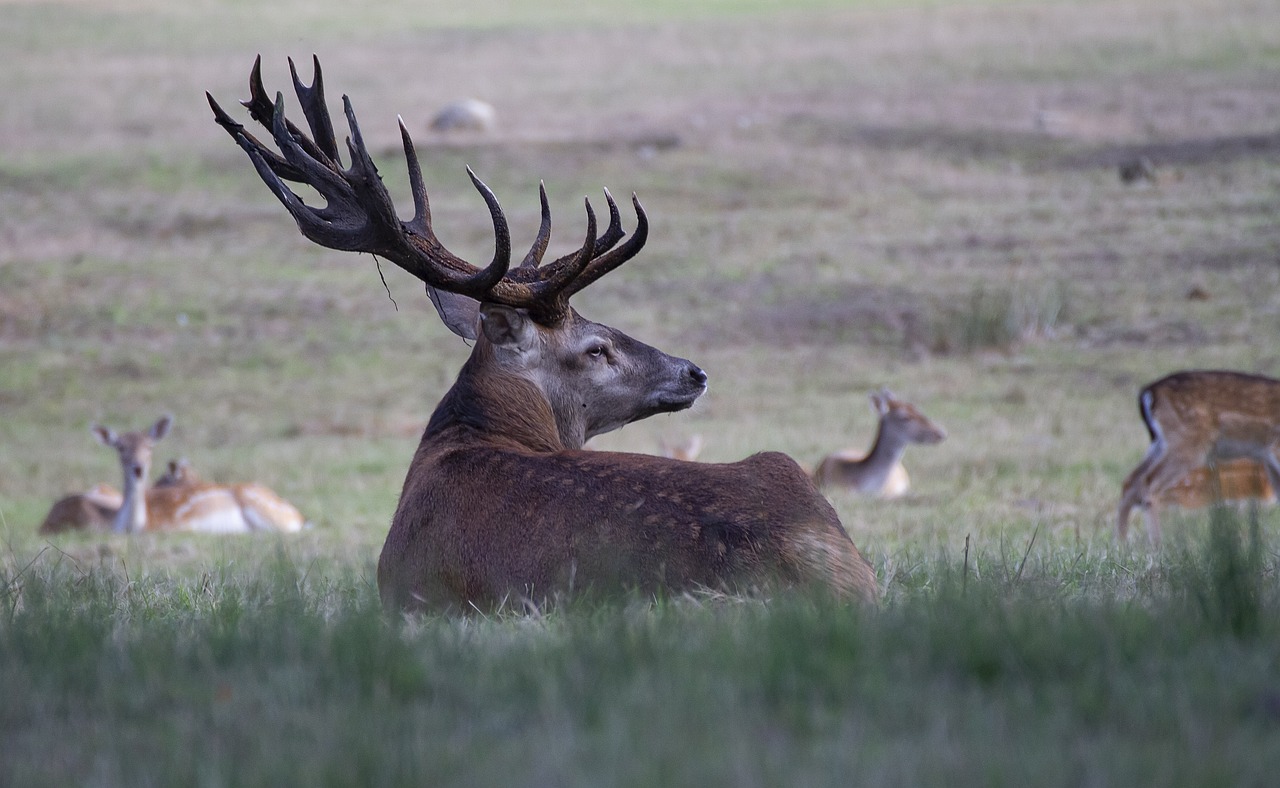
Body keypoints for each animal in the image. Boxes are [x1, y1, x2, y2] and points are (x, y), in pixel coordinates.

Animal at [1116, 368, 1280, 542]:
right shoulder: (1275, 449)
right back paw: (1157, 546)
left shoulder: (1268, 458)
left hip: (1161, 443)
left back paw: (1120, 544)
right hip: (1187, 443)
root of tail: (1148, 392)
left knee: (1131, 481)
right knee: (1149, 483)